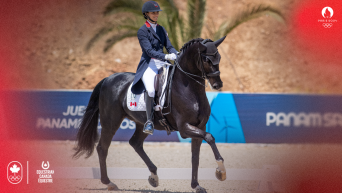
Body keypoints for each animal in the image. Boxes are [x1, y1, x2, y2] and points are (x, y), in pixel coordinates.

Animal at [72, 36, 227, 193]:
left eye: (219, 57)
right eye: (206, 60)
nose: (218, 85)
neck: (189, 88)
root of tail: (108, 78)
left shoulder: (200, 127)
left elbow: (196, 157)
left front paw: (196, 185)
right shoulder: (184, 128)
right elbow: (210, 137)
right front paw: (221, 172)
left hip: (141, 124)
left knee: (135, 143)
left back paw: (153, 176)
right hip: (111, 123)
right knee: (102, 148)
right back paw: (109, 183)